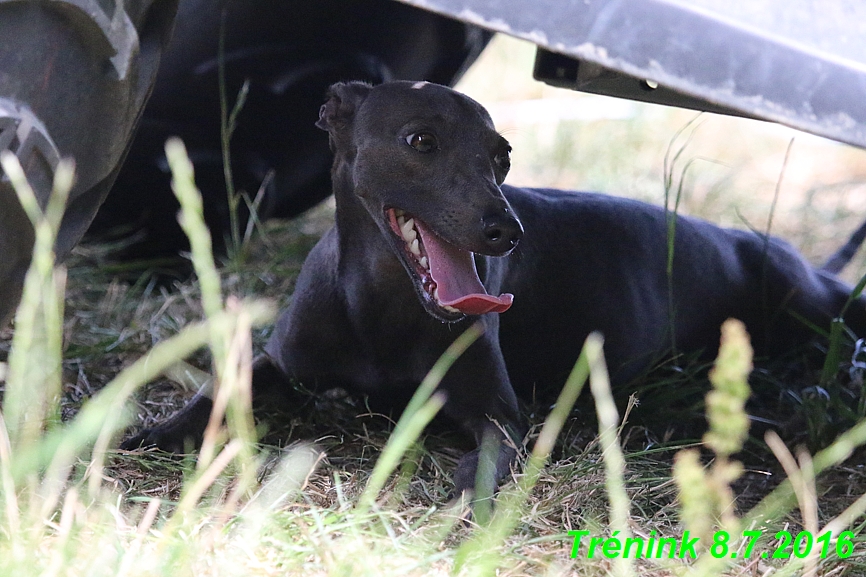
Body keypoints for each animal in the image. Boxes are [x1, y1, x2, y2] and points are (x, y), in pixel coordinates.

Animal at [125, 80, 864, 496]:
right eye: (420, 141)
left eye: (501, 154)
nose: (506, 231)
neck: (383, 307)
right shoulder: (282, 365)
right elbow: (217, 393)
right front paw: (147, 431)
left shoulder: (498, 416)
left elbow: (483, 461)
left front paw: (459, 494)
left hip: (807, 309)